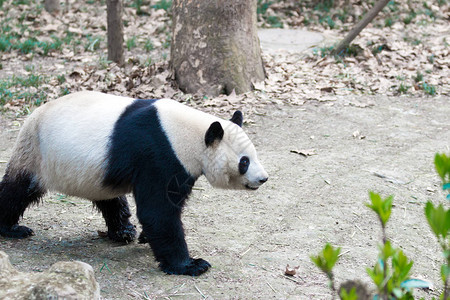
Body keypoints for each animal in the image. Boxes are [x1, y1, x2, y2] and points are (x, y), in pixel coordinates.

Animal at [0, 91, 268, 276]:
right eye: (244, 162)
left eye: (255, 155)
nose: (263, 178)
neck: (189, 132)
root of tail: (33, 114)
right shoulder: (160, 153)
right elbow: (158, 211)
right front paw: (191, 265)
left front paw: (147, 238)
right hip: (38, 152)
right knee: (18, 190)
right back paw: (11, 228)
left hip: (94, 168)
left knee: (108, 197)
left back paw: (123, 231)